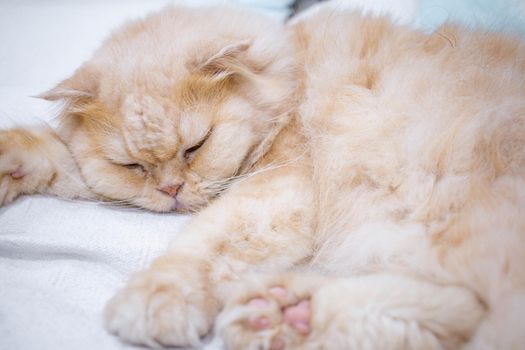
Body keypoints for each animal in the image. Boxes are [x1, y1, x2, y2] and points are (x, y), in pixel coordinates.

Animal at [1, 2, 524, 350]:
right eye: (133, 166)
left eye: (196, 146)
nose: (171, 190)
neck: (293, 75)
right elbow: (56, 155)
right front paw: (10, 164)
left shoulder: (278, 187)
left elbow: (202, 243)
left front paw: (154, 299)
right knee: (455, 315)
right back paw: (284, 314)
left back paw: (282, 315)